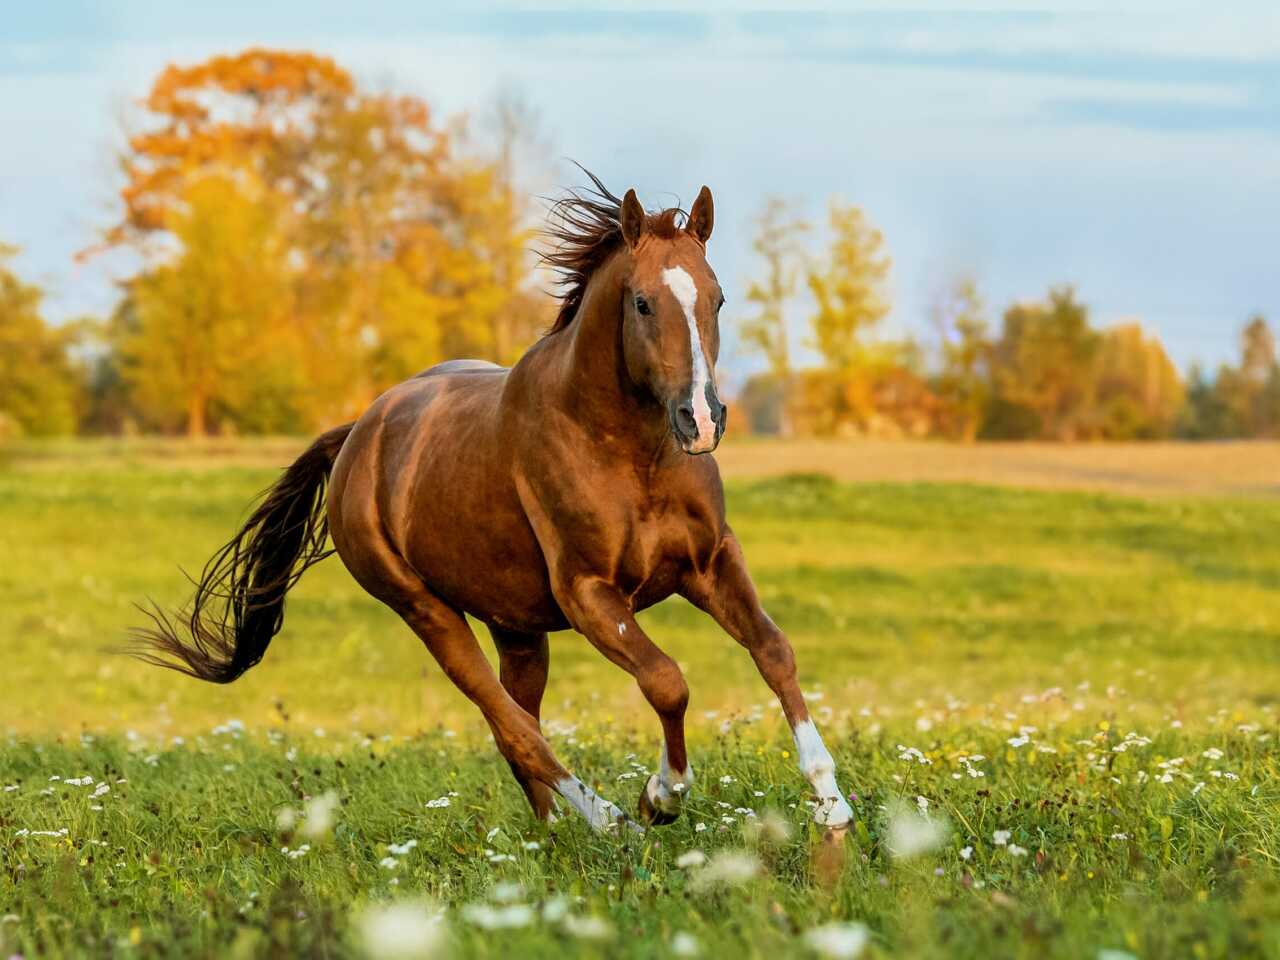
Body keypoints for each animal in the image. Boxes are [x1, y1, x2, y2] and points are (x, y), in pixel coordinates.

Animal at [135, 172, 849, 834]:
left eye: (718, 298)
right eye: (643, 303)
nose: (700, 419)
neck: (629, 454)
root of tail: (357, 434)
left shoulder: (710, 562)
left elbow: (773, 650)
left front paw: (831, 802)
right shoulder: (589, 594)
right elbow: (666, 681)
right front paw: (660, 796)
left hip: (517, 627)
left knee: (519, 720)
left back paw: (553, 832)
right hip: (427, 613)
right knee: (513, 726)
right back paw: (608, 820)